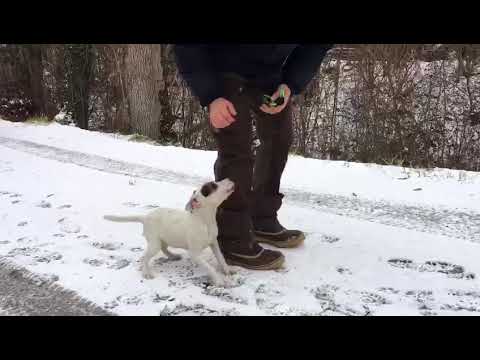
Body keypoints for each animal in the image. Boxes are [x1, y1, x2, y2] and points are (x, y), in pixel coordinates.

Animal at [104, 179, 235, 286]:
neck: (204, 220)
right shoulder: (195, 253)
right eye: (213, 186)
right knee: (145, 257)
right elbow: (209, 267)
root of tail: (145, 217)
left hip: (164, 239)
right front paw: (219, 280)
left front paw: (227, 270)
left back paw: (173, 256)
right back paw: (146, 272)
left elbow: (221, 257)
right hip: (154, 243)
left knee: (164, 249)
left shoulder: (214, 243)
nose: (229, 179)